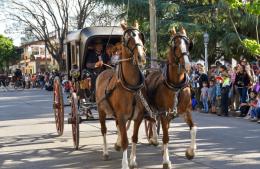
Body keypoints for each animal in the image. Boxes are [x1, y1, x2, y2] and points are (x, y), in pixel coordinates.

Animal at [96, 21, 147, 169]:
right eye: (127, 38)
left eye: (140, 36)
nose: (141, 57)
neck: (131, 87)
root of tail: (105, 70)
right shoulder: (122, 115)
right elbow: (125, 140)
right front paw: (125, 164)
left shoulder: (138, 116)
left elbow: (134, 137)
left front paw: (133, 160)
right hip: (101, 110)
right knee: (104, 130)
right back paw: (105, 152)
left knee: (118, 127)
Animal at [145, 27, 196, 168]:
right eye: (175, 45)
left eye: (188, 44)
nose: (188, 65)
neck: (176, 85)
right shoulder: (163, 113)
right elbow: (166, 137)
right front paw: (166, 161)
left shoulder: (186, 111)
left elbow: (193, 128)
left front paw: (190, 152)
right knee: (151, 120)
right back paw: (154, 139)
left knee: (158, 123)